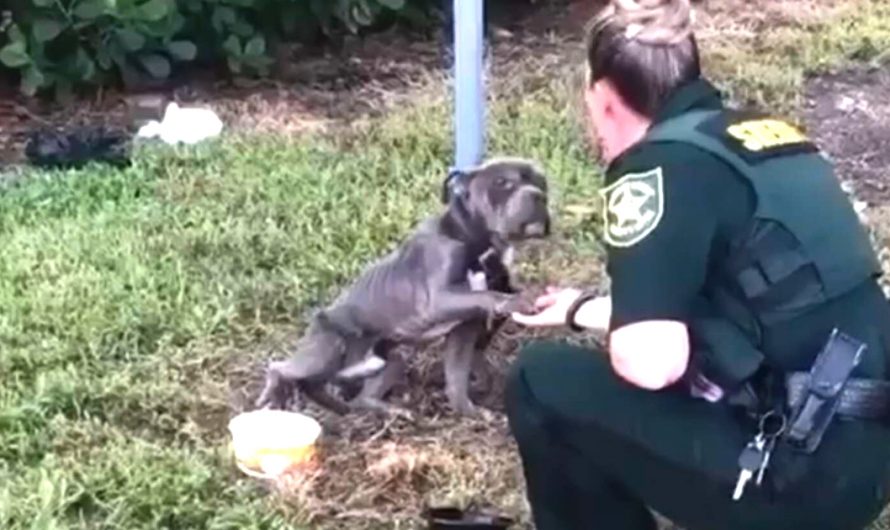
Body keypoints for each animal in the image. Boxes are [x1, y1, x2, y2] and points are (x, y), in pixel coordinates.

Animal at [253, 157, 552, 416]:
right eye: (502, 182)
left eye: (541, 181)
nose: (539, 195)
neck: (477, 243)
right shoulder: (439, 300)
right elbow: (489, 295)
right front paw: (517, 300)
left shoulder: (464, 330)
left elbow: (457, 377)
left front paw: (471, 410)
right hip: (328, 349)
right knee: (282, 369)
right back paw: (275, 394)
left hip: (390, 360)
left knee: (354, 397)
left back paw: (380, 411)